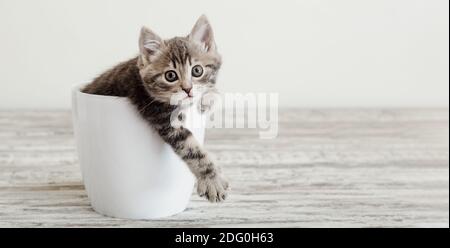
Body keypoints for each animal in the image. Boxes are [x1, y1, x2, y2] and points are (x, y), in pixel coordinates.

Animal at [82, 15, 229, 202]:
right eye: (170, 75)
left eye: (197, 70)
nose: (187, 89)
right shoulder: (162, 117)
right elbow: (191, 149)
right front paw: (212, 179)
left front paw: (207, 97)